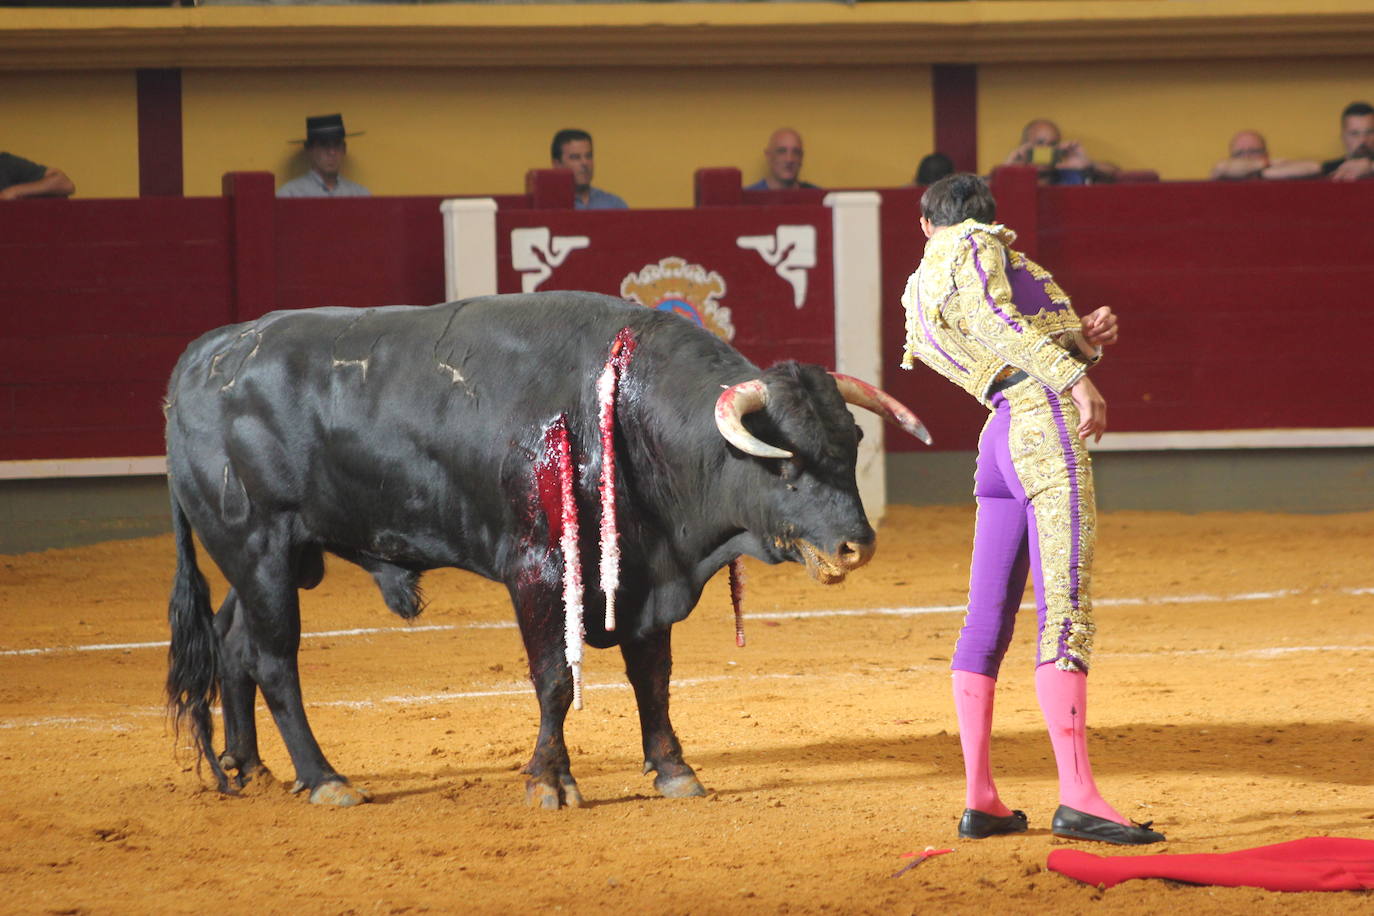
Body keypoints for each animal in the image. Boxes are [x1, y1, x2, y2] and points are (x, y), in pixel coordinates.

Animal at [166, 292, 928, 807]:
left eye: (852, 447)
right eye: (788, 466)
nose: (857, 546)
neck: (624, 412)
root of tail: (200, 360)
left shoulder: (641, 572)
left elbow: (653, 677)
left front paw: (674, 769)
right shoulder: (538, 569)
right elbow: (555, 677)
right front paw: (550, 780)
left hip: (280, 556)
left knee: (234, 641)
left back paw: (249, 768)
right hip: (257, 544)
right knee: (275, 659)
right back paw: (324, 779)